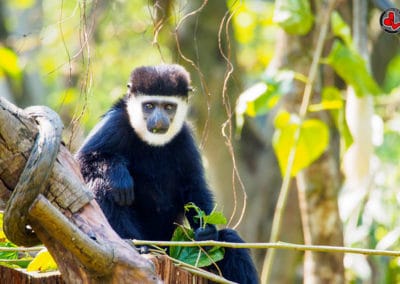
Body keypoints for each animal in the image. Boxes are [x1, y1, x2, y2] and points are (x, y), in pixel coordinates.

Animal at [76, 65, 258, 284]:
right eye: (149, 106)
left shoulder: (184, 138)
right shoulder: (114, 125)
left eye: (169, 107)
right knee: (105, 188)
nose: (159, 121)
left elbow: (194, 186)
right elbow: (83, 160)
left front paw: (206, 233)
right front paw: (117, 174)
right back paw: (138, 246)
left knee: (229, 241)